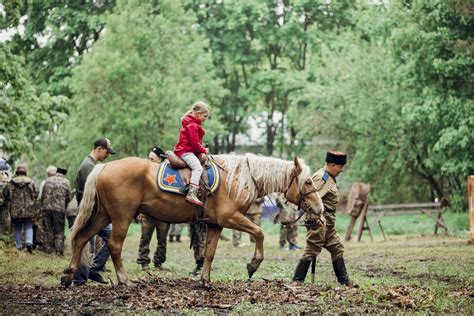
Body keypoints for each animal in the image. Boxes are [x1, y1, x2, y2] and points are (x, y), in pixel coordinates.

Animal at [61, 154, 324, 286]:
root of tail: (104, 167)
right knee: (114, 245)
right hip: (122, 217)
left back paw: (70, 274)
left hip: (103, 215)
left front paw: (205, 280)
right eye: (307, 181)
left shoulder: (216, 224)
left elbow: (209, 253)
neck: (239, 177)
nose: (320, 208)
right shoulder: (231, 218)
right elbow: (258, 233)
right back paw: (124, 280)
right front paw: (253, 265)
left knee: (81, 238)